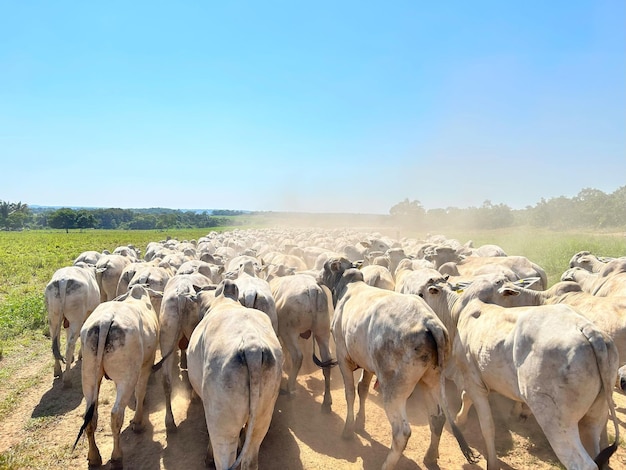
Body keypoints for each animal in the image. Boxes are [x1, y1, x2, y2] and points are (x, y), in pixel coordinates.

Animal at [71, 284, 160, 468]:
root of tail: (106, 322)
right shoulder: (147, 364)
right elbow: (140, 392)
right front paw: (138, 422)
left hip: (89, 376)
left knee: (90, 416)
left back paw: (94, 457)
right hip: (127, 378)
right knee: (116, 414)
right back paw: (117, 457)